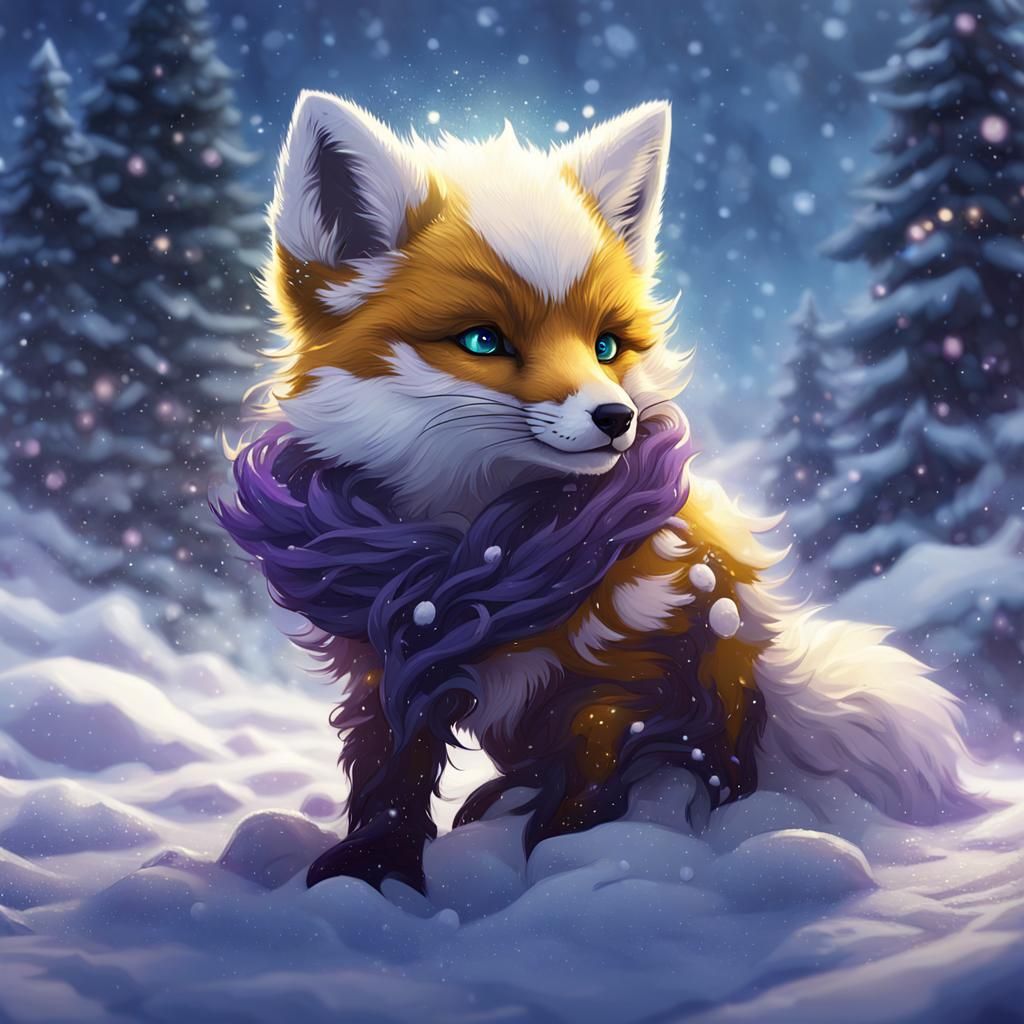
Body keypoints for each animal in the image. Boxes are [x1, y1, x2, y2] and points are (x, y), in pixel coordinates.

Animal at [216, 91, 982, 894]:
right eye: (484, 340)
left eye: (607, 345)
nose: (618, 419)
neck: (476, 552)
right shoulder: (385, 658)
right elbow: (388, 773)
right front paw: (369, 871)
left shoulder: (621, 672)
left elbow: (586, 790)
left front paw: (569, 867)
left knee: (720, 769)